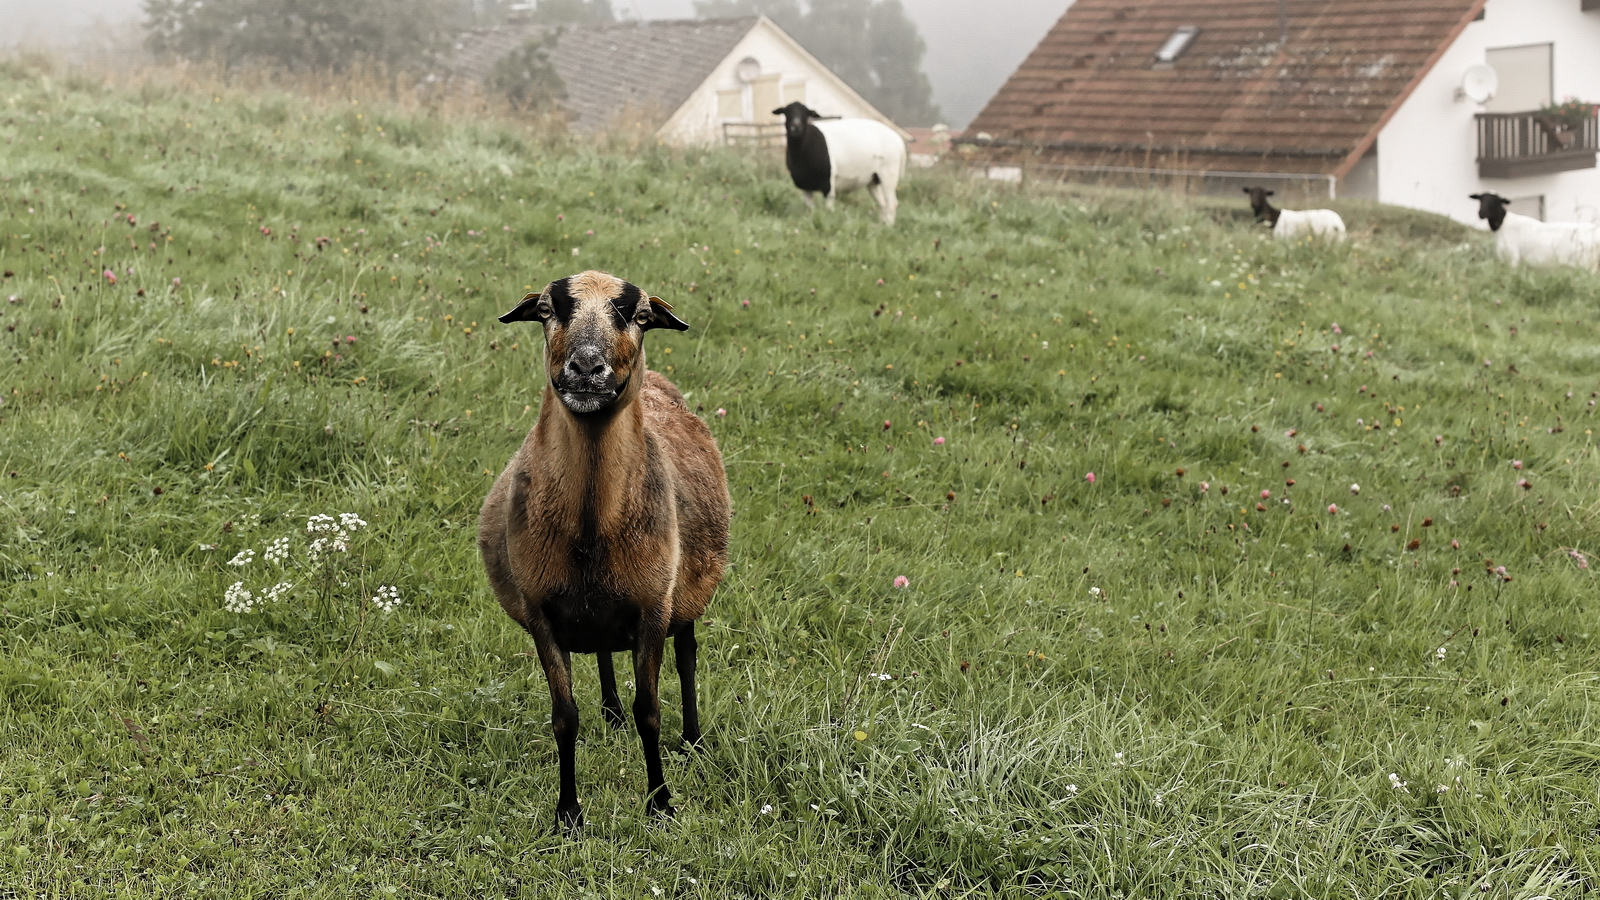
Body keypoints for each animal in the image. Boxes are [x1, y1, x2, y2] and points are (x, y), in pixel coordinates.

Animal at [473, 269, 726, 832]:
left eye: (641, 316)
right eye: (546, 311)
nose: (587, 367)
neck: (591, 527)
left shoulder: (655, 605)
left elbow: (649, 711)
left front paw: (660, 804)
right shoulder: (541, 611)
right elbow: (564, 718)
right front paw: (568, 814)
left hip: (684, 595)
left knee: (688, 659)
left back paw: (694, 741)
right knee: (607, 649)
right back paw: (609, 713)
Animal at [777, 100, 915, 224]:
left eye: (806, 113)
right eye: (786, 112)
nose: (795, 127)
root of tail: (899, 140)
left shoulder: (828, 183)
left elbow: (829, 209)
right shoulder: (805, 186)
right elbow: (810, 210)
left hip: (889, 173)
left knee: (892, 203)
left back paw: (889, 226)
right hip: (873, 179)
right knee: (882, 203)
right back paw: (882, 225)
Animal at [1472, 190, 1600, 272]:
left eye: (1497, 201)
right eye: (1480, 199)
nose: (1481, 214)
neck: (1503, 225)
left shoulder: (1514, 257)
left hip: (1587, 264)